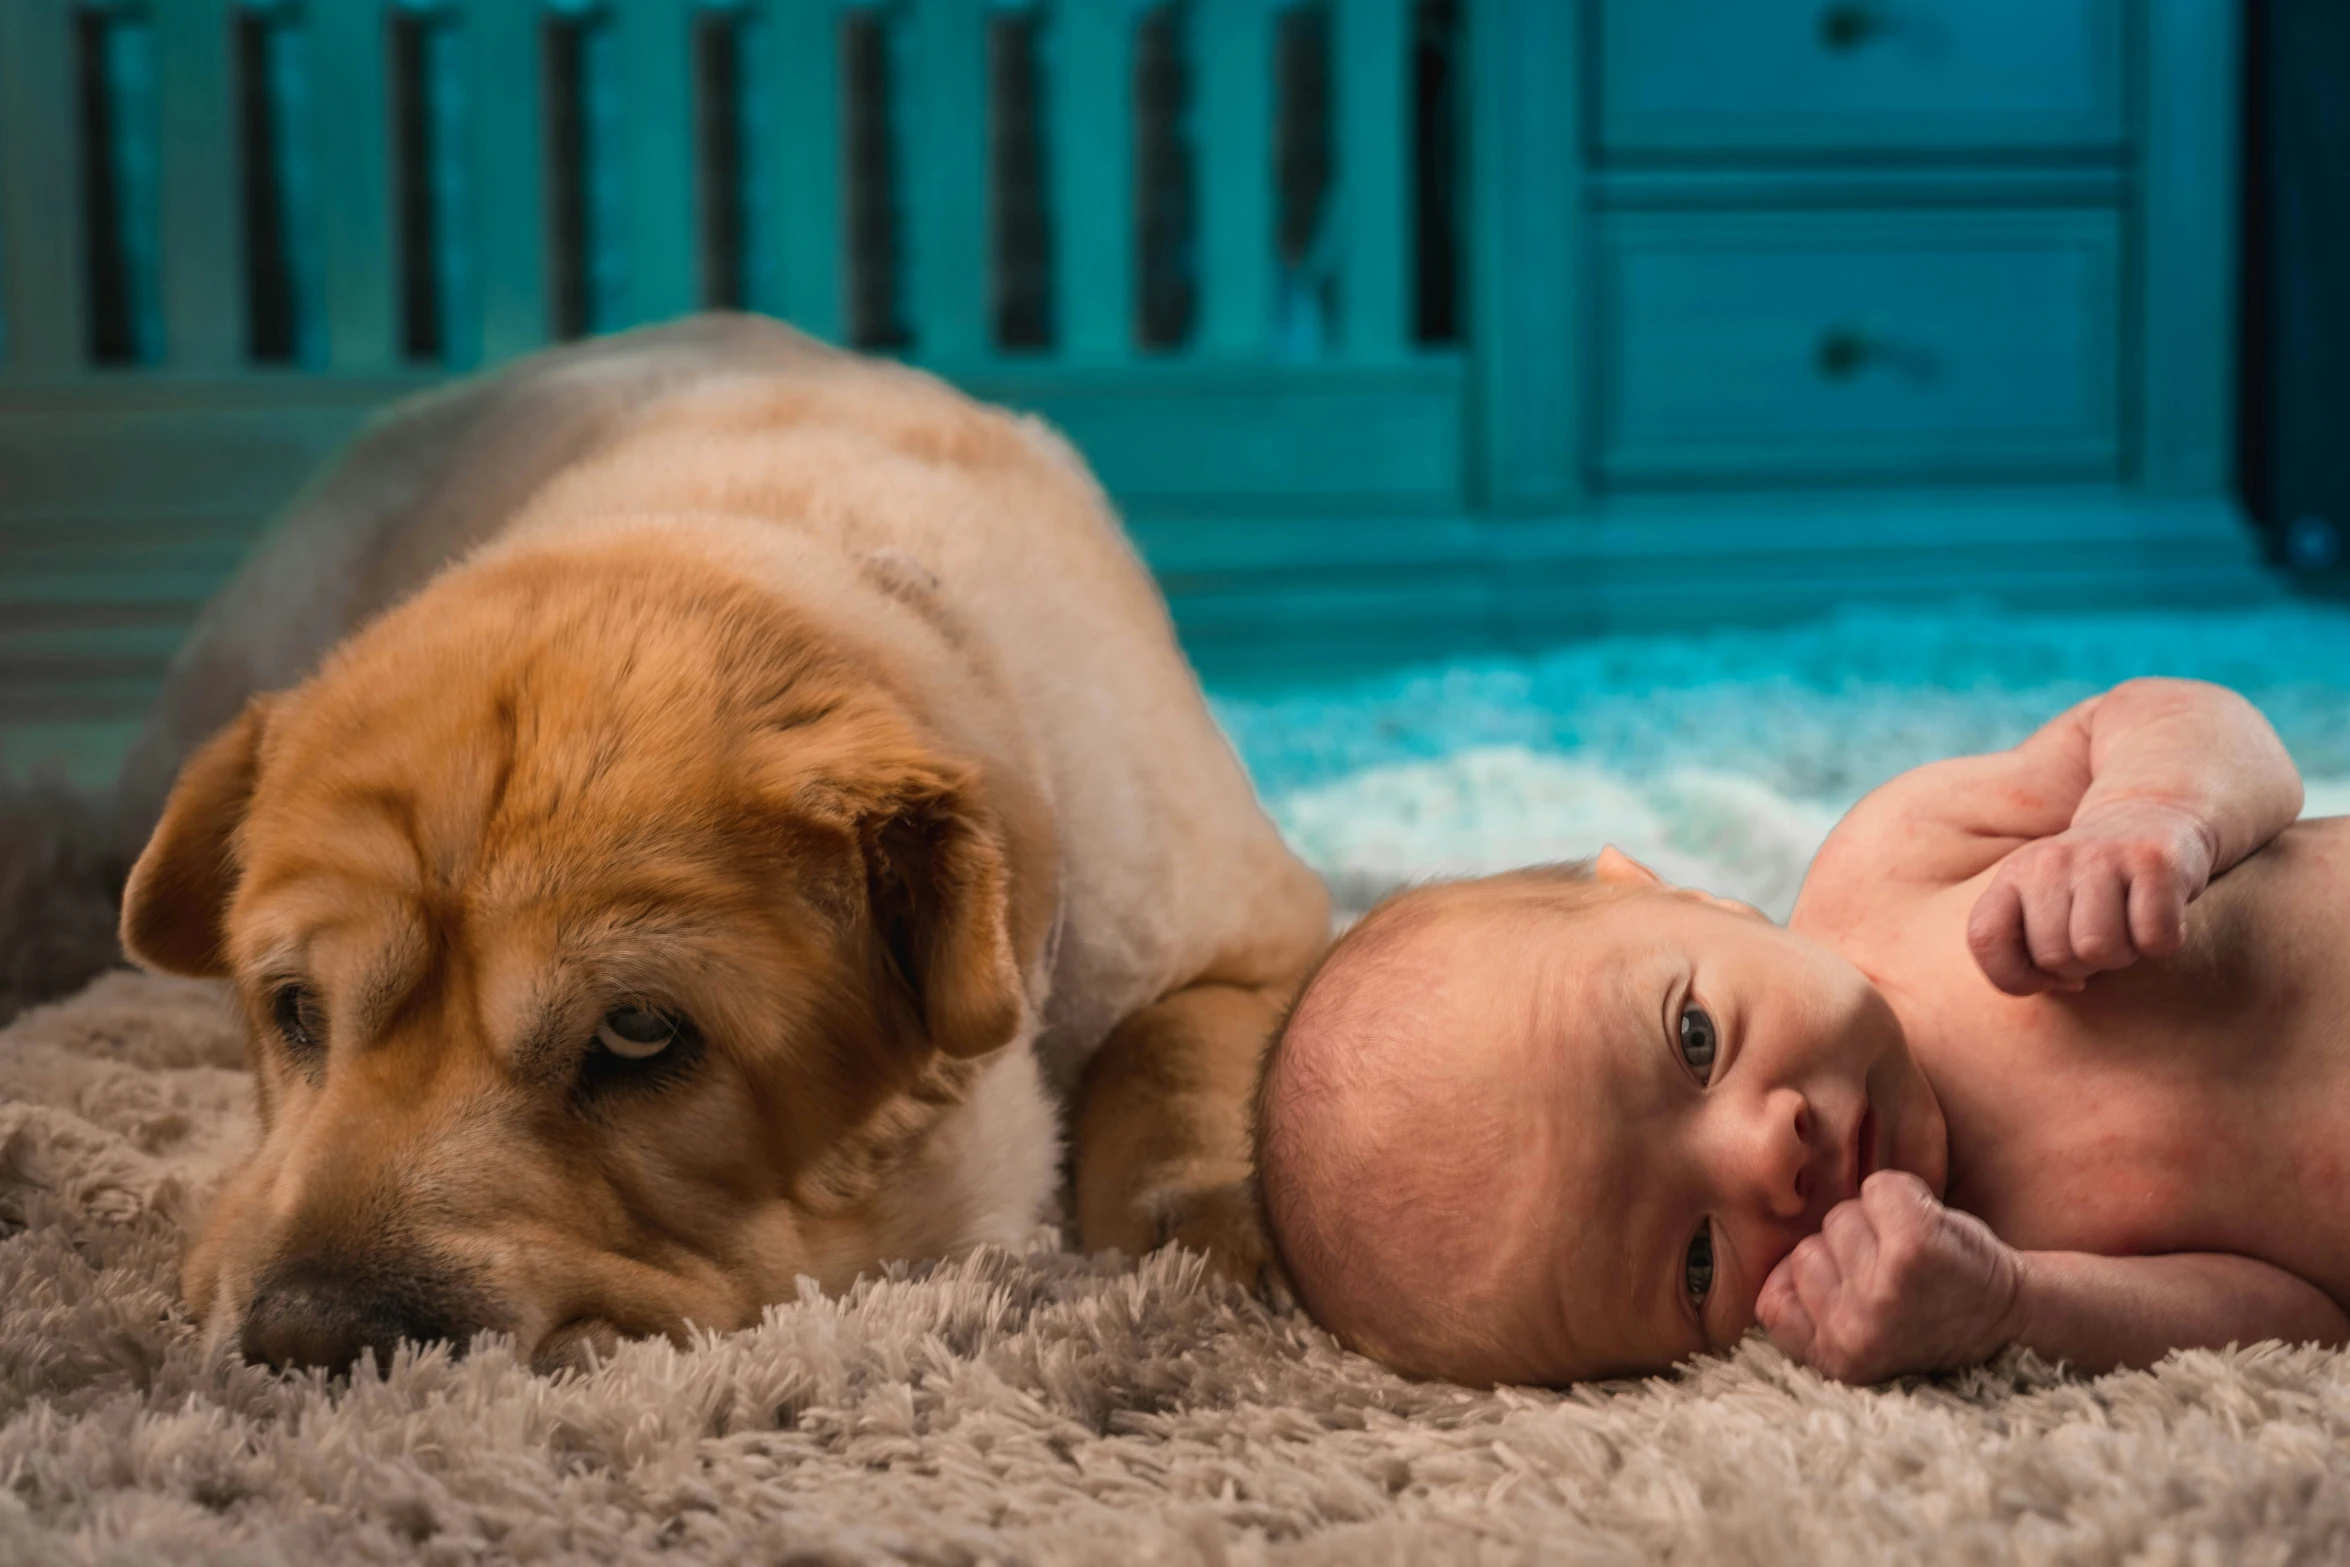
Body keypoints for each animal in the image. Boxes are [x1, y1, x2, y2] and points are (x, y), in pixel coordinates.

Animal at [119, 312, 1334, 1381]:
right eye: (295, 1010)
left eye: (641, 1033)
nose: (309, 1332)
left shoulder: (1252, 930)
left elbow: (1173, 1049)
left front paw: (1208, 1234)